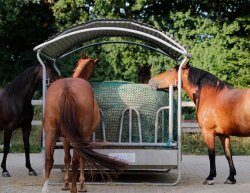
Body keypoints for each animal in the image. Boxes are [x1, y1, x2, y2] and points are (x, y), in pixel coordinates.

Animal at [42, 54, 127, 193]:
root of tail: (66, 88)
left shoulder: (65, 138)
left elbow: (66, 158)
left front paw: (65, 184)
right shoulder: (85, 136)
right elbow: (81, 158)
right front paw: (81, 184)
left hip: (51, 133)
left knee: (49, 159)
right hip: (79, 135)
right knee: (76, 159)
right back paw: (75, 189)